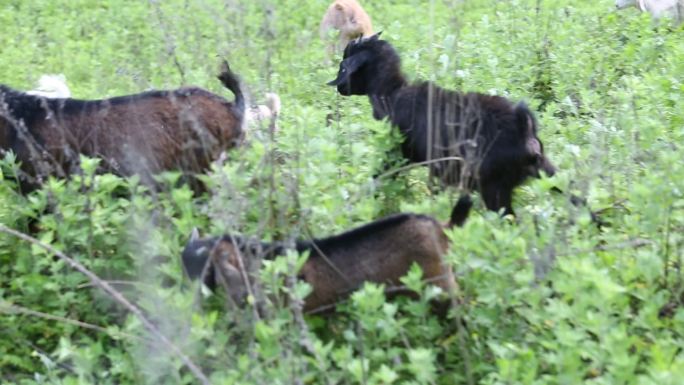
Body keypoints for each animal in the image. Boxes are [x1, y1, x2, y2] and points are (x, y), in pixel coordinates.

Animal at [328, 34, 560, 214]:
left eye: (343, 66)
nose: (339, 88)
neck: (392, 93)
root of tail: (524, 126)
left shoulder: (396, 151)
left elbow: (377, 178)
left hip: (494, 187)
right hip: (544, 170)